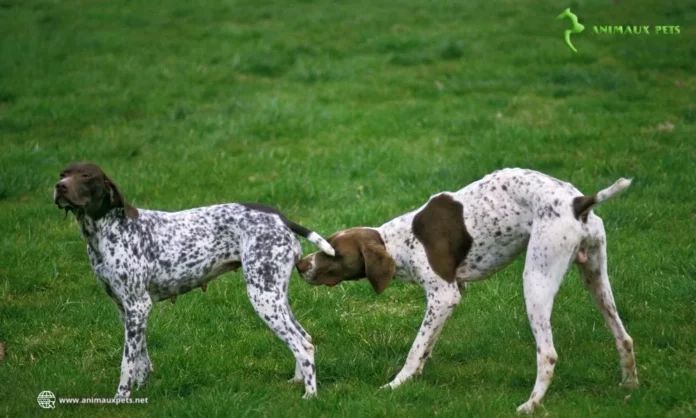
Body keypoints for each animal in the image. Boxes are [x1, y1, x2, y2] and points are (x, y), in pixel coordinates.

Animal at [53, 162, 334, 398]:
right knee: (304, 337)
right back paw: (297, 381)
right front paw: (143, 389)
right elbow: (141, 358)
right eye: (63, 173)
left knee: (302, 345)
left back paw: (310, 396)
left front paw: (121, 398)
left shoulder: (138, 306)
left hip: (263, 298)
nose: (59, 186)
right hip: (274, 297)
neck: (107, 232)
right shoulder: (126, 310)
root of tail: (280, 218)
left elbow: (126, 364)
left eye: (86, 175)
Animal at [296, 168, 640, 414]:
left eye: (333, 253)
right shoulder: (453, 295)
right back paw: (629, 387)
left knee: (548, 354)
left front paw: (397, 384)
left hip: (536, 280)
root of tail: (577, 202)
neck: (401, 241)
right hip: (595, 277)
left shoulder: (443, 295)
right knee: (624, 337)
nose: (300, 265)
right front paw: (416, 377)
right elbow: (427, 345)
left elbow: (415, 348)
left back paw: (531, 405)